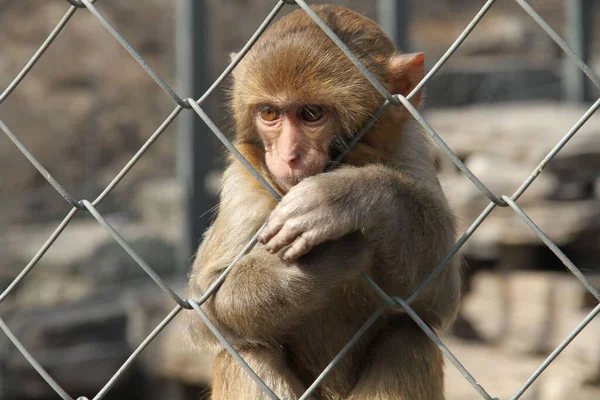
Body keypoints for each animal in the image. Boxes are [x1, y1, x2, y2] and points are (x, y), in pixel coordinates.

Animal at [185, 3, 462, 400]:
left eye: (312, 114)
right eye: (270, 113)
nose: (288, 157)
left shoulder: (409, 145)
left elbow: (440, 299)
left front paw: (347, 197)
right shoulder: (242, 178)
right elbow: (203, 306)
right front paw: (327, 259)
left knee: (409, 338)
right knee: (247, 351)